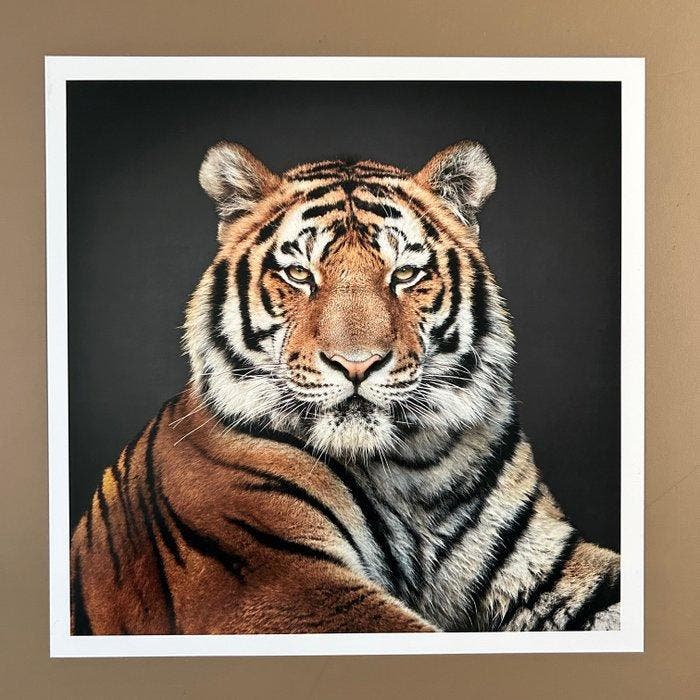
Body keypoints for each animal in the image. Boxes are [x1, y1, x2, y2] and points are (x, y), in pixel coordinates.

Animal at [70, 140, 621, 635]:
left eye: (405, 274)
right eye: (298, 273)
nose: (356, 365)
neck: (412, 468)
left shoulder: (541, 559)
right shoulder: (280, 582)